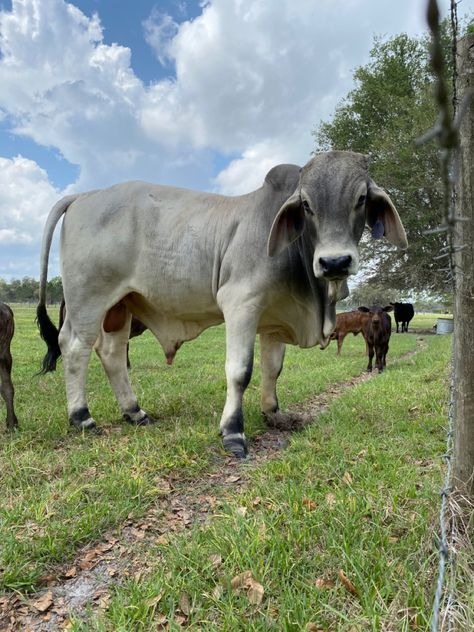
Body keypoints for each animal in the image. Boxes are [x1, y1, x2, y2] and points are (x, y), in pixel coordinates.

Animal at [38, 153, 408, 460]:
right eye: (306, 204)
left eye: (361, 198)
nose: (334, 262)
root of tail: (84, 195)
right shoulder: (241, 303)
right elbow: (240, 371)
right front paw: (233, 432)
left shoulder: (275, 319)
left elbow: (273, 369)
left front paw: (273, 414)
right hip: (88, 299)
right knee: (75, 346)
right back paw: (82, 417)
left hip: (120, 306)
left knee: (112, 354)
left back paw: (134, 412)